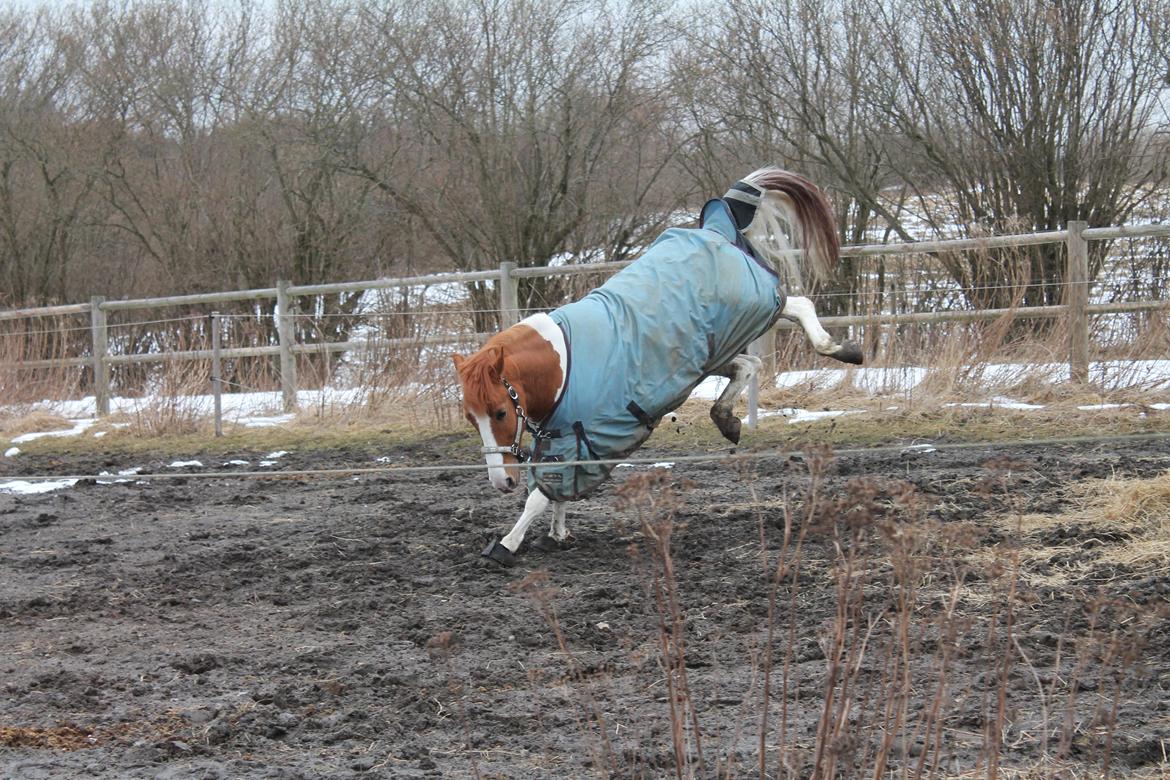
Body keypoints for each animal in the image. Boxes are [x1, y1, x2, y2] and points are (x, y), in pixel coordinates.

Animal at [449, 168, 861, 563]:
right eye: (471, 418)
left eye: (500, 412)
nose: (501, 482)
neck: (563, 364)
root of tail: (716, 229)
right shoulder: (566, 439)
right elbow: (554, 488)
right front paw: (556, 533)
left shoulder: (588, 438)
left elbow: (541, 494)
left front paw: (505, 545)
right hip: (711, 353)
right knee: (749, 364)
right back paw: (727, 420)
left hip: (757, 309)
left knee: (799, 306)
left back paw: (843, 350)